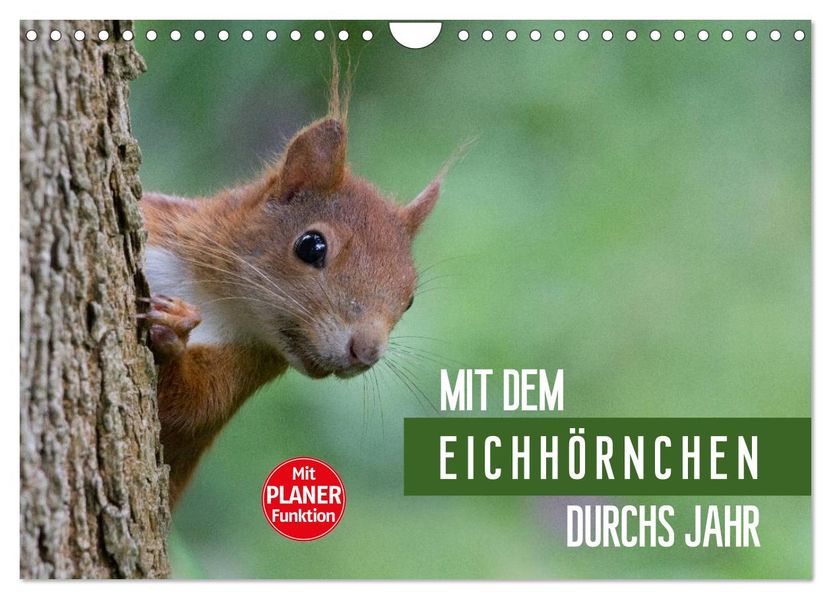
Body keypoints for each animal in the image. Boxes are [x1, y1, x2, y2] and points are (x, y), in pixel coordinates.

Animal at [138, 60, 444, 507]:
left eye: (409, 300)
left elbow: (186, 411)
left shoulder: (242, 369)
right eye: (311, 245)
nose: (366, 352)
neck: (211, 295)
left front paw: (173, 331)